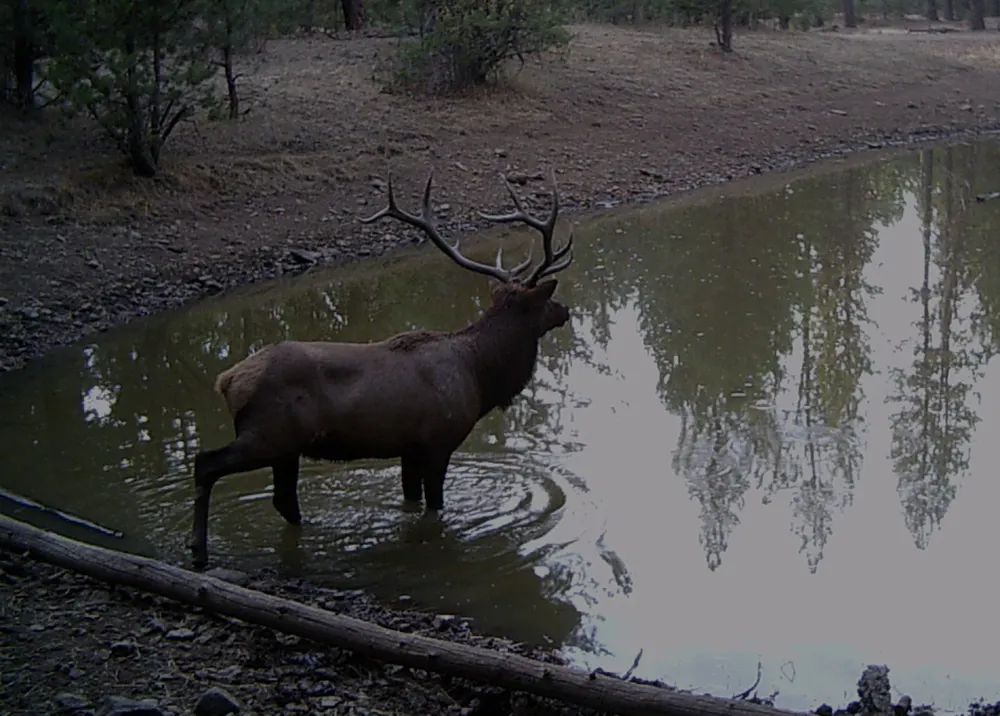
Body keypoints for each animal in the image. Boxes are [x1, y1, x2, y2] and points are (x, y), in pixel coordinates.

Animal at [188, 169, 575, 569]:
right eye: (544, 303)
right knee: (206, 463)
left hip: (286, 446)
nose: (565, 310)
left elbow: (411, 500)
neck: (480, 377)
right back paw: (199, 551)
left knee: (282, 499)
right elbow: (435, 505)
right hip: (268, 433)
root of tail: (226, 381)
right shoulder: (439, 440)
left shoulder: (410, 447)